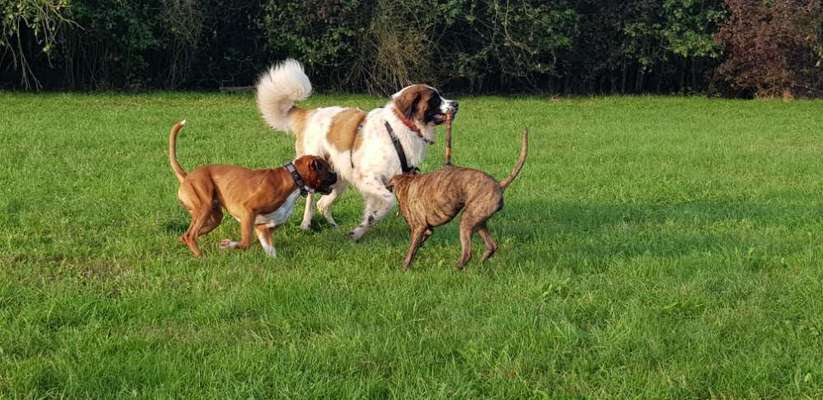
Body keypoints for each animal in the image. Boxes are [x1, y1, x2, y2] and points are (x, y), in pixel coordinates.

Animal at [167, 120, 338, 256]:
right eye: (327, 168)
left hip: (213, 217)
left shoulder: (263, 229)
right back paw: (202, 257)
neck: (293, 178)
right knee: (190, 235)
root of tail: (187, 176)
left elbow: (270, 251)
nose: (336, 174)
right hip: (205, 207)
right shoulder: (247, 210)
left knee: (186, 235)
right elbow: (245, 243)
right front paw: (227, 245)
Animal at [256, 59, 458, 241]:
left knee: (323, 203)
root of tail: (310, 113)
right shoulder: (368, 178)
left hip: (337, 179)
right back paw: (306, 224)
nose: (456, 104)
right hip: (315, 171)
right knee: (311, 200)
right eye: (434, 99)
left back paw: (334, 227)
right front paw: (365, 225)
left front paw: (360, 230)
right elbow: (389, 202)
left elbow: (374, 212)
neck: (400, 127)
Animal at [386, 130, 528, 270]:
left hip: (466, 221)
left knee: (467, 253)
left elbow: (410, 251)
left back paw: (456, 268)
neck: (406, 184)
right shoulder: (426, 230)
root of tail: (499, 185)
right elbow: (416, 246)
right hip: (479, 222)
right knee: (491, 246)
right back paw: (479, 264)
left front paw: (404, 267)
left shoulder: (419, 227)